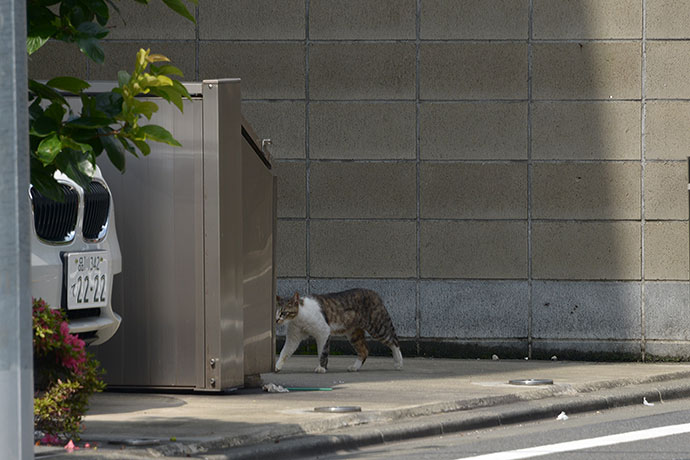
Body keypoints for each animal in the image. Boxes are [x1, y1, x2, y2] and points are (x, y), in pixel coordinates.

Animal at [276, 290, 404, 372]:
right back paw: (355, 367)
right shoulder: (293, 338)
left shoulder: (323, 332)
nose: (277, 320)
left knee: (394, 341)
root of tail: (375, 294)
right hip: (354, 334)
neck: (298, 319)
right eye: (276, 313)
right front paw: (277, 366)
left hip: (377, 326)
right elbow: (285, 352)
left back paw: (399, 363)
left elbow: (322, 352)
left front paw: (322, 368)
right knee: (364, 351)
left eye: (284, 313)